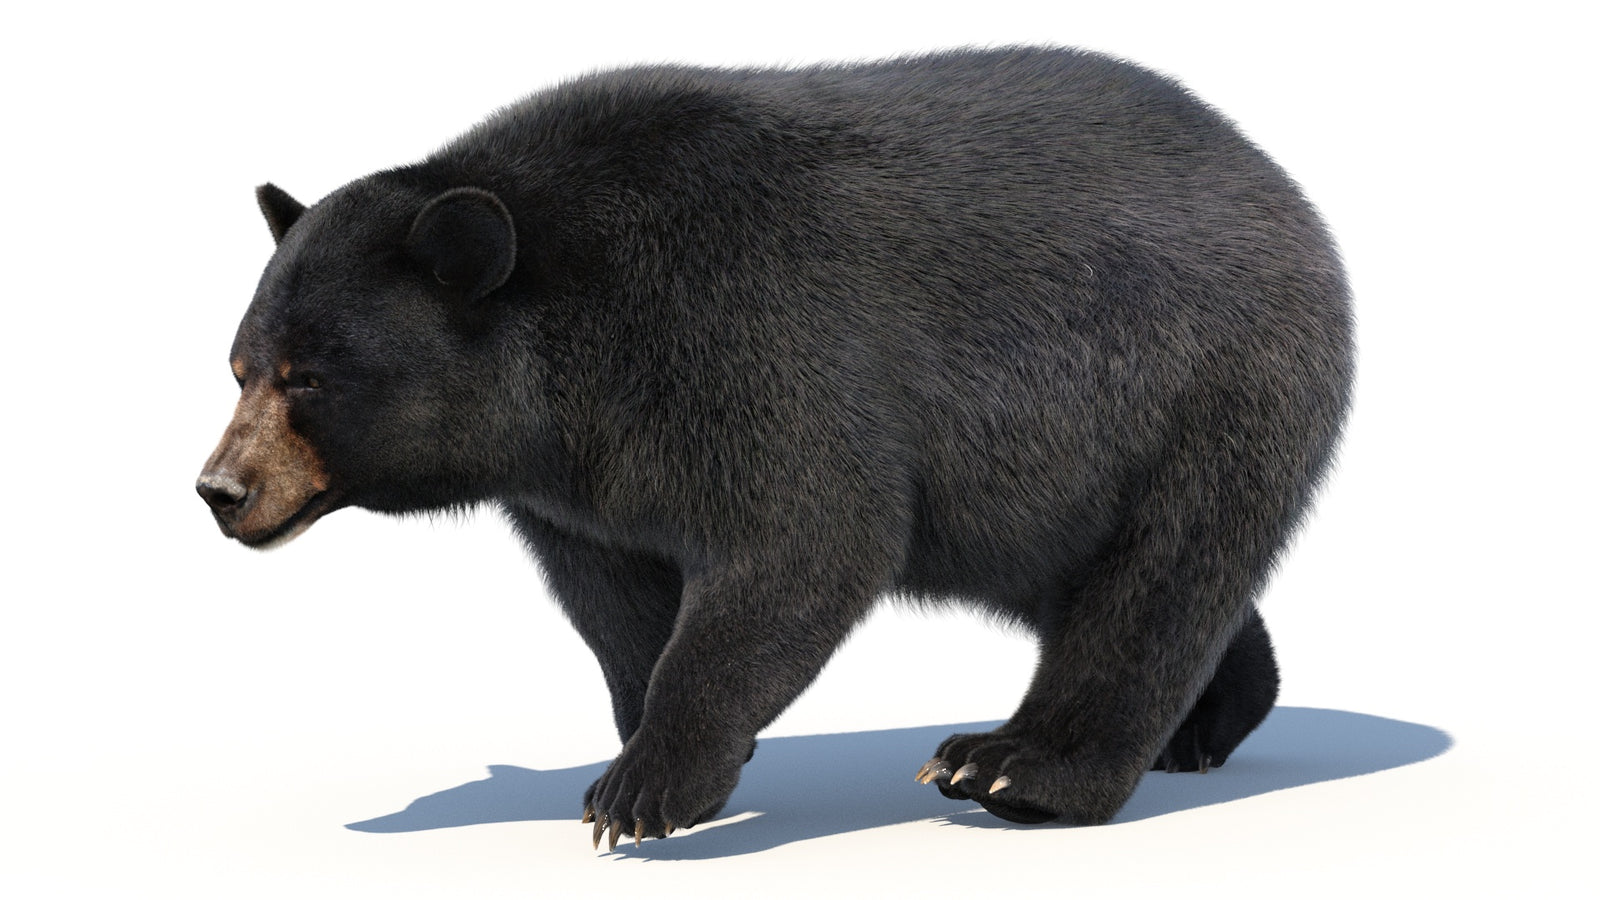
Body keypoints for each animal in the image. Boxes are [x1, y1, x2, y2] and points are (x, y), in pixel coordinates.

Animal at [197, 46, 1353, 850]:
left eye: (310, 376)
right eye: (240, 365)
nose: (220, 489)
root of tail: (1278, 182)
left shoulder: (747, 339)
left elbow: (807, 537)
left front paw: (643, 790)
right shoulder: (578, 480)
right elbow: (616, 598)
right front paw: (659, 752)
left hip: (1199, 386)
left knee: (1164, 569)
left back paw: (1014, 768)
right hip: (1054, 485)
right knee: (1105, 577)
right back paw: (1205, 726)